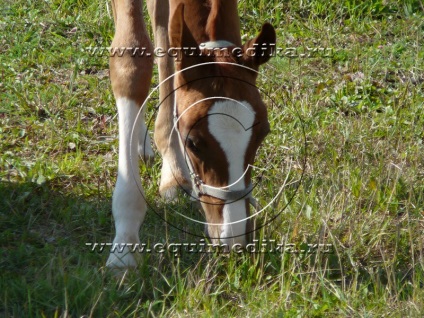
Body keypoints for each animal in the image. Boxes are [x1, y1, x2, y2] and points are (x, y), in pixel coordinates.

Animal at [107, 0, 276, 268]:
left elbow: (169, 47)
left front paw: (173, 171)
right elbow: (131, 59)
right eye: (193, 143)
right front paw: (124, 246)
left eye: (263, 134)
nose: (234, 236)